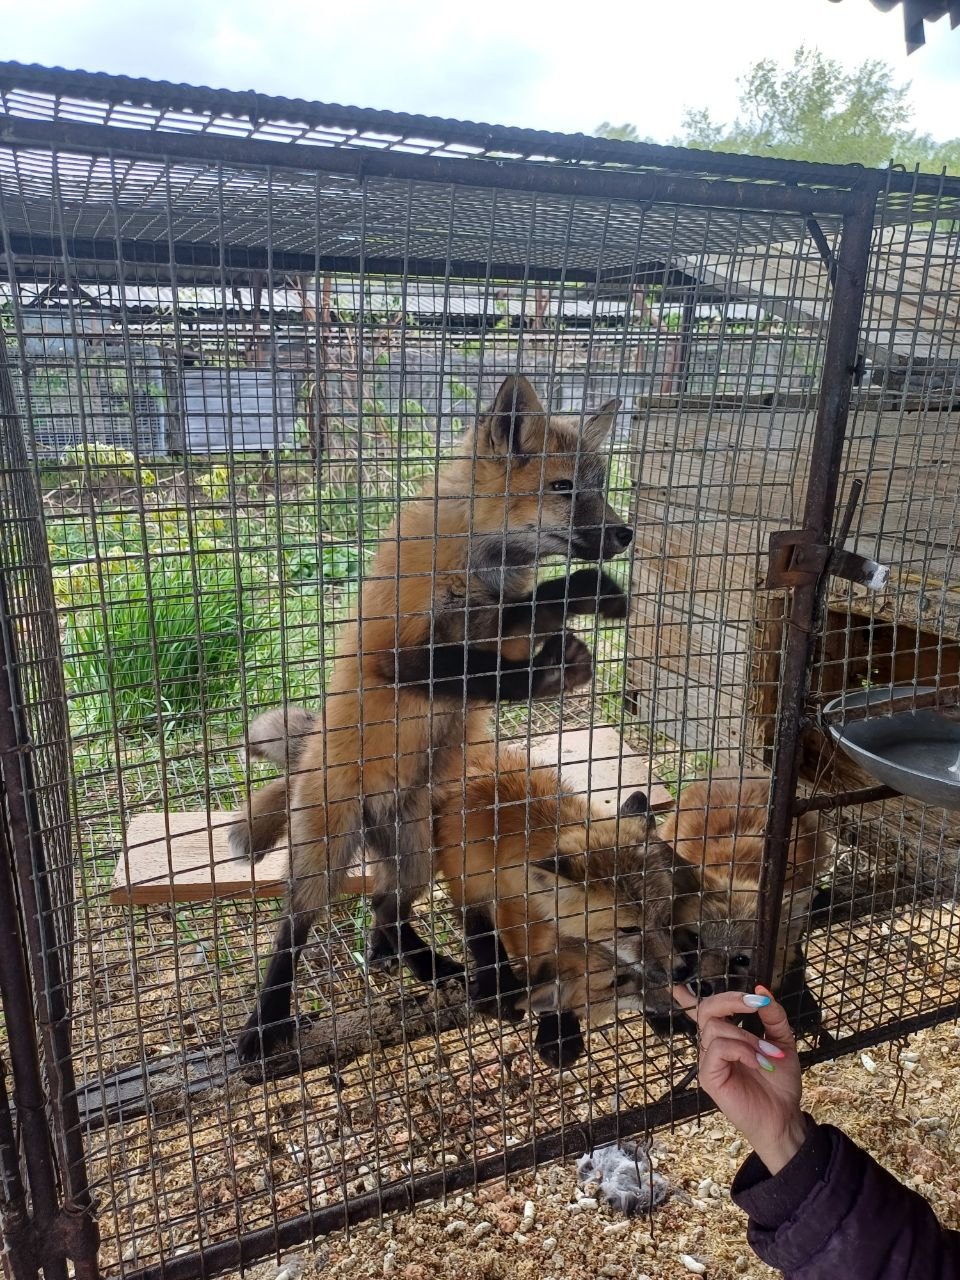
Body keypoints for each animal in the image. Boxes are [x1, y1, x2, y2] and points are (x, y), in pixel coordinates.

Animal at [231, 375, 634, 1062]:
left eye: (600, 483)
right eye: (563, 488)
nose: (626, 534)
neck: (476, 558)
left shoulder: (494, 624)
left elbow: (524, 615)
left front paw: (583, 602)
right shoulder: (398, 654)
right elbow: (475, 666)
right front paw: (554, 665)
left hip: (417, 858)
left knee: (384, 913)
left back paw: (425, 965)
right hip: (324, 855)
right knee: (295, 927)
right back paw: (267, 1021)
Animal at [432, 744, 703, 1068]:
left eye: (665, 918)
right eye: (628, 928)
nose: (681, 972)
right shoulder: (486, 896)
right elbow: (511, 953)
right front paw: (550, 1024)